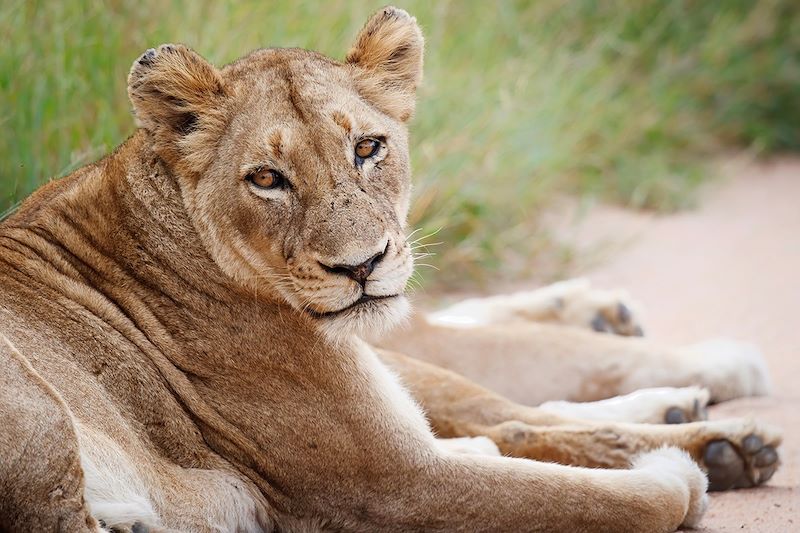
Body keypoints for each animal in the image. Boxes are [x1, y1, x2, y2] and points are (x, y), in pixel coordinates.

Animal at [0, 6, 780, 528]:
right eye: (267, 179)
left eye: (368, 148)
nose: (362, 266)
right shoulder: (394, 484)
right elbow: (621, 499)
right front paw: (679, 472)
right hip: (35, 409)